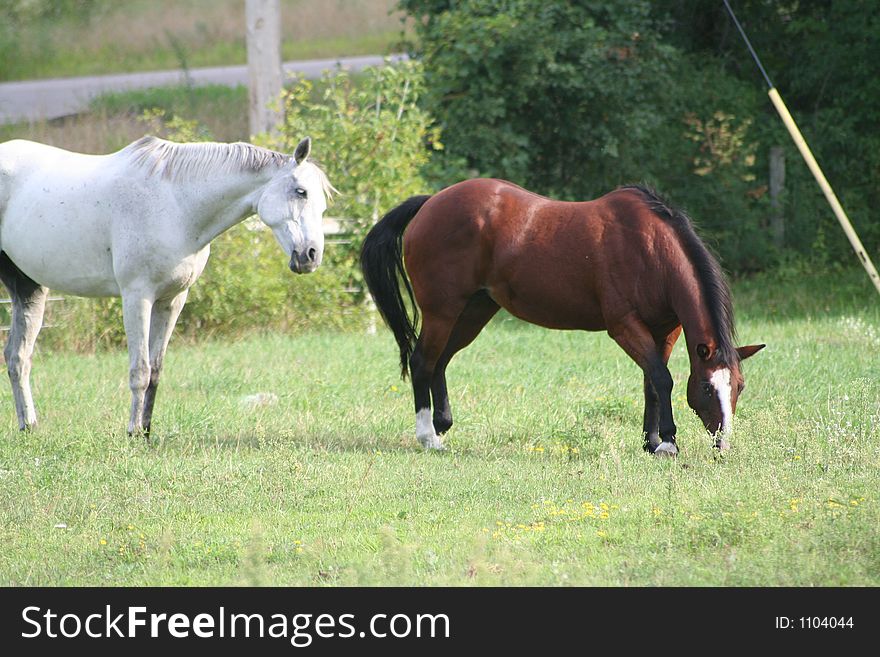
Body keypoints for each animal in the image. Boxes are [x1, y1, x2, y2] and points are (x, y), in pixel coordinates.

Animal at [0, 136, 336, 436]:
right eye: (301, 192)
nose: (310, 256)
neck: (175, 205)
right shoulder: (137, 297)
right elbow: (140, 370)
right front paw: (133, 433)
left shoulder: (172, 300)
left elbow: (156, 370)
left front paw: (147, 431)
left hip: (29, 290)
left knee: (18, 357)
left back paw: (29, 426)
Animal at [358, 179, 764, 456]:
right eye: (708, 388)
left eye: (740, 387)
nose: (723, 443)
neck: (649, 249)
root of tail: (431, 202)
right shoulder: (624, 327)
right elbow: (662, 379)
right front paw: (667, 443)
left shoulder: (665, 330)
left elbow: (652, 381)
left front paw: (651, 441)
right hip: (442, 311)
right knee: (422, 362)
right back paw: (427, 436)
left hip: (474, 310)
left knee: (440, 361)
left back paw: (441, 424)